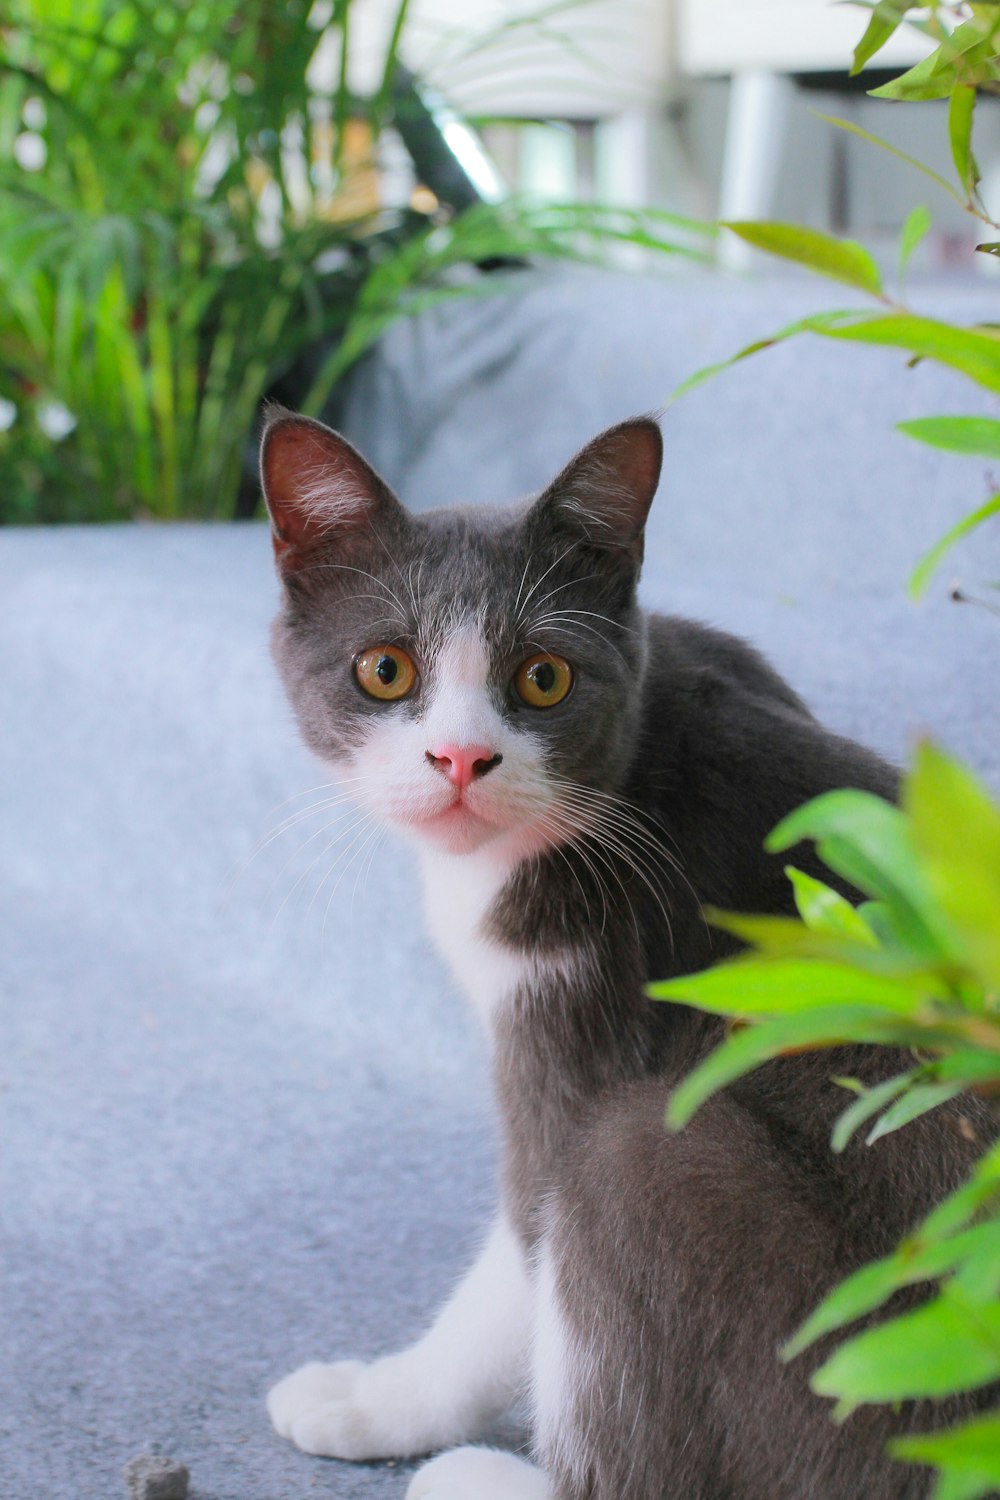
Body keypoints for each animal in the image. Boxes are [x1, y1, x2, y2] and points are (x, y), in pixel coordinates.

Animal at [260, 414, 995, 1500]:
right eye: (384, 669)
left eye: (543, 676)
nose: (460, 760)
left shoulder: (598, 994)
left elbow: (522, 1249)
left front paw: (378, 1400)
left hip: (693, 1191)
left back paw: (470, 1475)